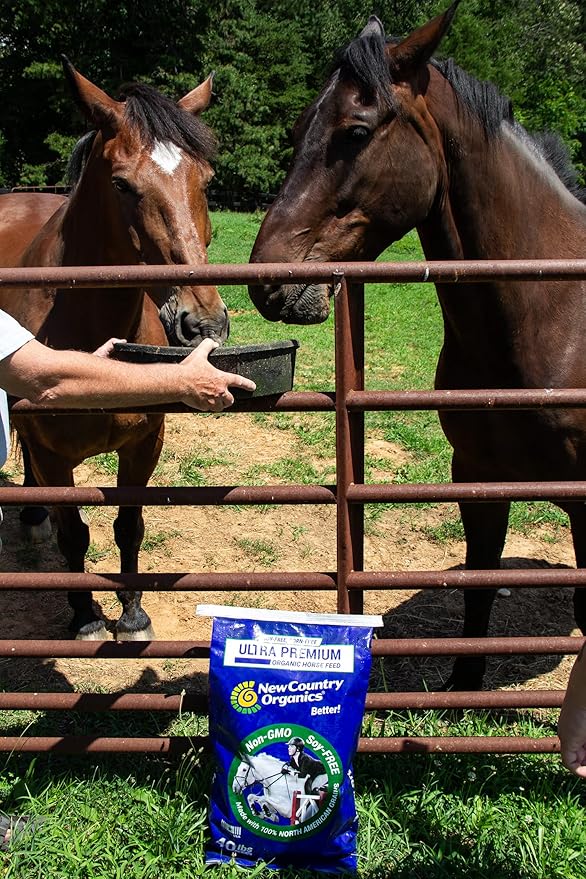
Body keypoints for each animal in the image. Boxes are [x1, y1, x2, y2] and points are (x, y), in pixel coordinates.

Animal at [0, 60, 230, 640]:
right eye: (122, 184)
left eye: (206, 181)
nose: (203, 322)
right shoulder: (54, 456)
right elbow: (75, 535)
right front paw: (85, 617)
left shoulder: (144, 445)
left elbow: (129, 527)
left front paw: (132, 615)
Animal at [248, 2, 586, 689]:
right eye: (296, 131)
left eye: (355, 131)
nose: (267, 282)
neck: (551, 312)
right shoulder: (478, 475)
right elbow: (479, 585)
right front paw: (462, 690)